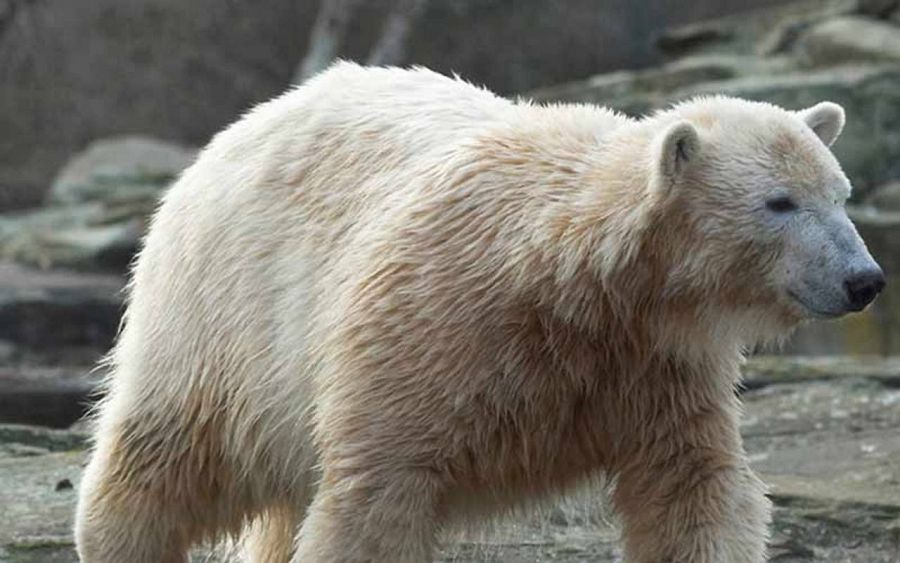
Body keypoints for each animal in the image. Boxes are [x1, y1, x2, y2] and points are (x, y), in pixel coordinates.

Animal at [74, 62, 884, 563]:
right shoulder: (429, 326)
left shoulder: (655, 363)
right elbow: (375, 491)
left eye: (841, 193)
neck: (568, 279)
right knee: (167, 453)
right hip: (228, 310)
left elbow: (692, 484)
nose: (865, 279)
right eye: (780, 202)